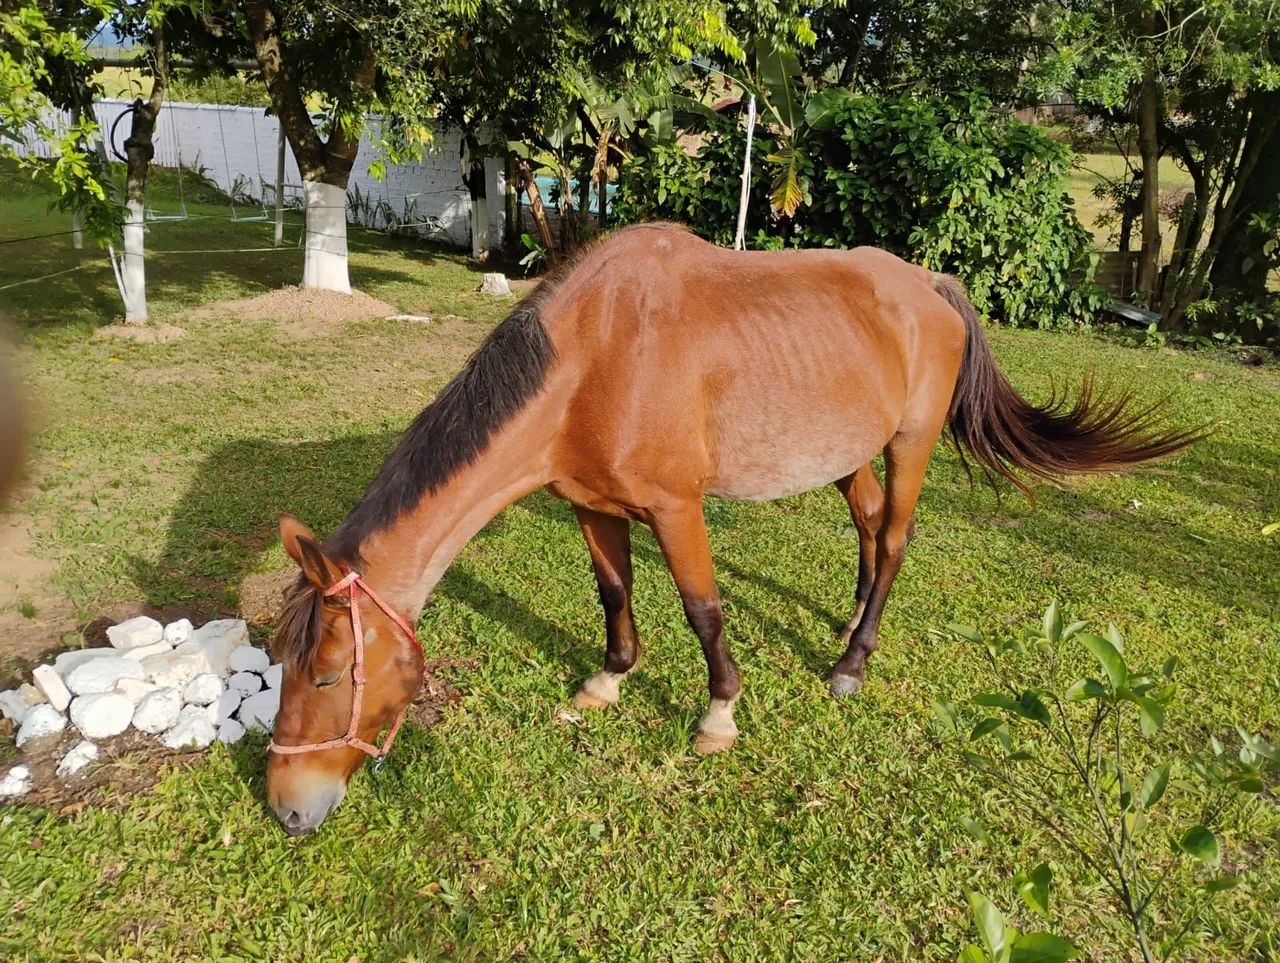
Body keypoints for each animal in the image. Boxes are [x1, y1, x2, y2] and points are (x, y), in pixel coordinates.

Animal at [266, 223, 1198, 835]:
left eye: (329, 674)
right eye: (282, 666)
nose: (286, 808)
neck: (594, 358)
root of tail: (926, 283)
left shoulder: (676, 508)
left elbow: (703, 608)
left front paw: (719, 713)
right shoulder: (591, 504)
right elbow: (615, 591)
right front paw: (608, 678)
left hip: (911, 443)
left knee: (894, 540)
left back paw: (853, 660)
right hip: (845, 449)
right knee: (866, 526)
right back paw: (847, 621)